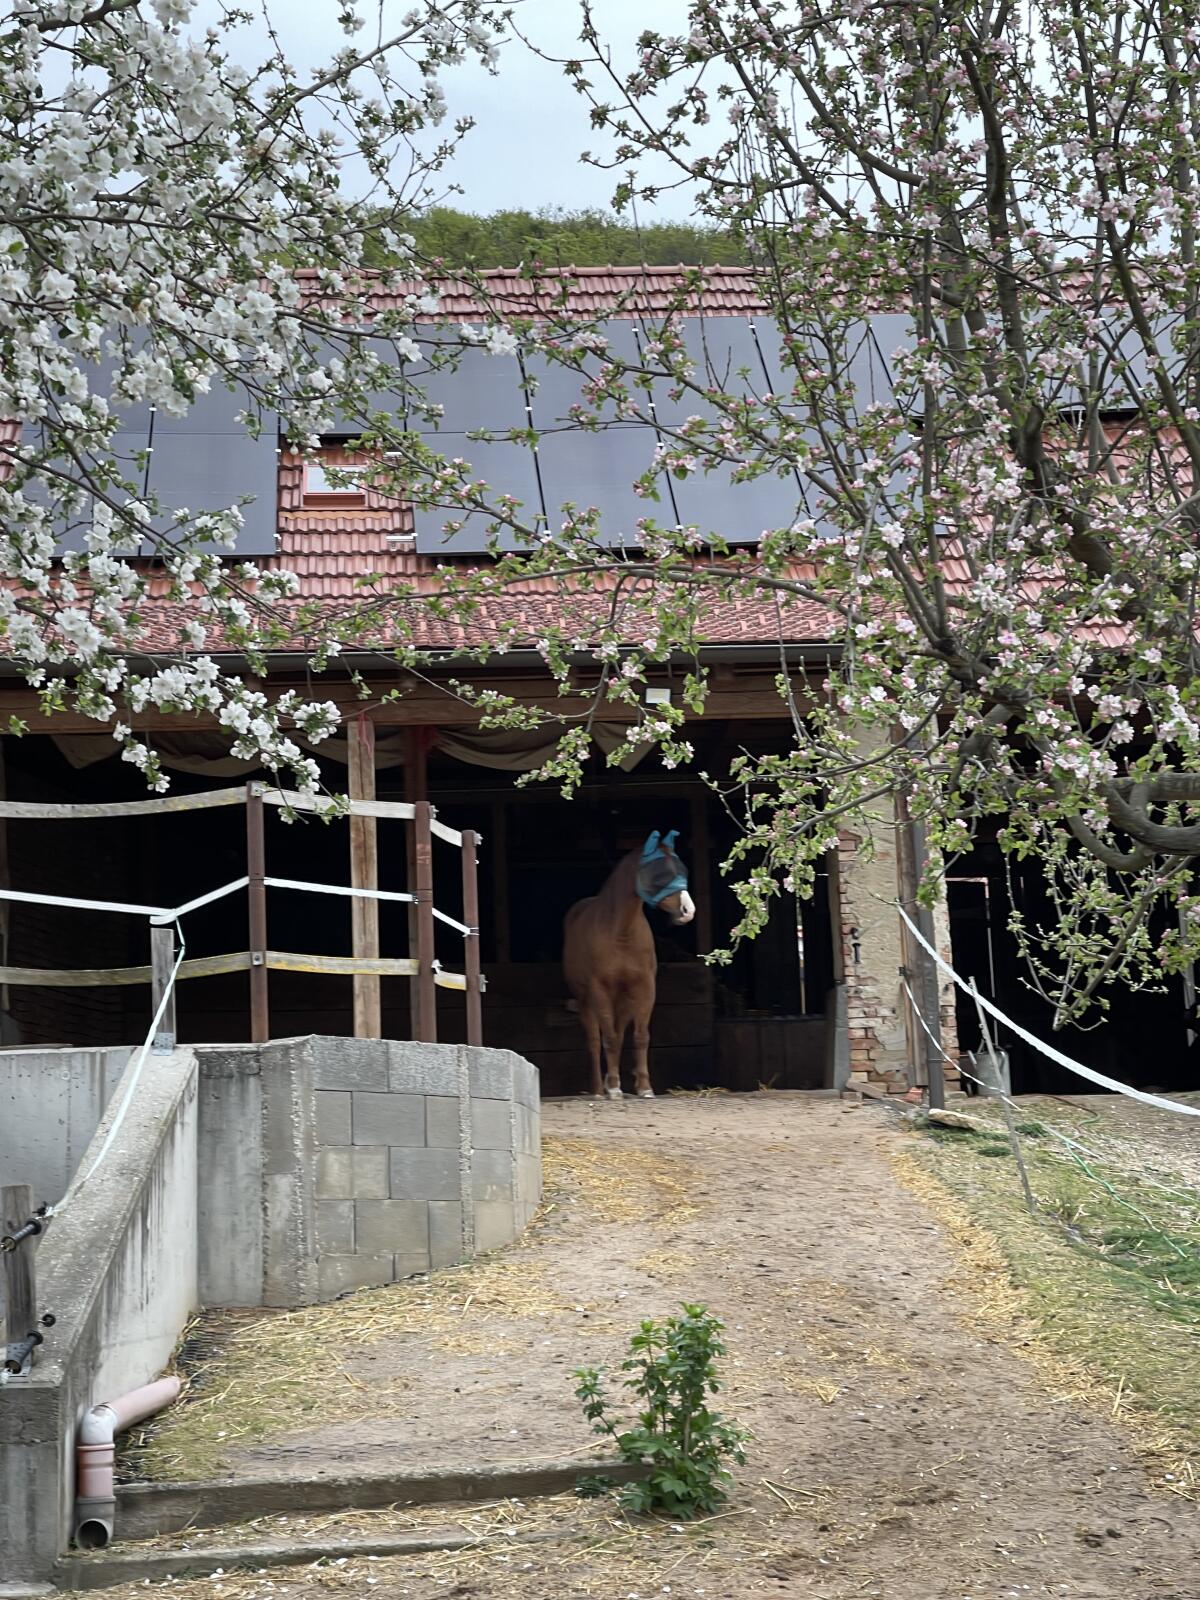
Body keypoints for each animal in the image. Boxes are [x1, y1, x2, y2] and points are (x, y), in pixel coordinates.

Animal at [562, 830, 695, 1100]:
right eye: (658, 873)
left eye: (682, 870)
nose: (688, 911)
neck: (621, 933)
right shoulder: (599, 989)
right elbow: (608, 1039)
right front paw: (613, 1088)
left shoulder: (644, 988)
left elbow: (640, 1036)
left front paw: (644, 1088)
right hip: (586, 999)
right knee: (595, 1041)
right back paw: (598, 1089)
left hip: (623, 999)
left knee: (620, 1031)